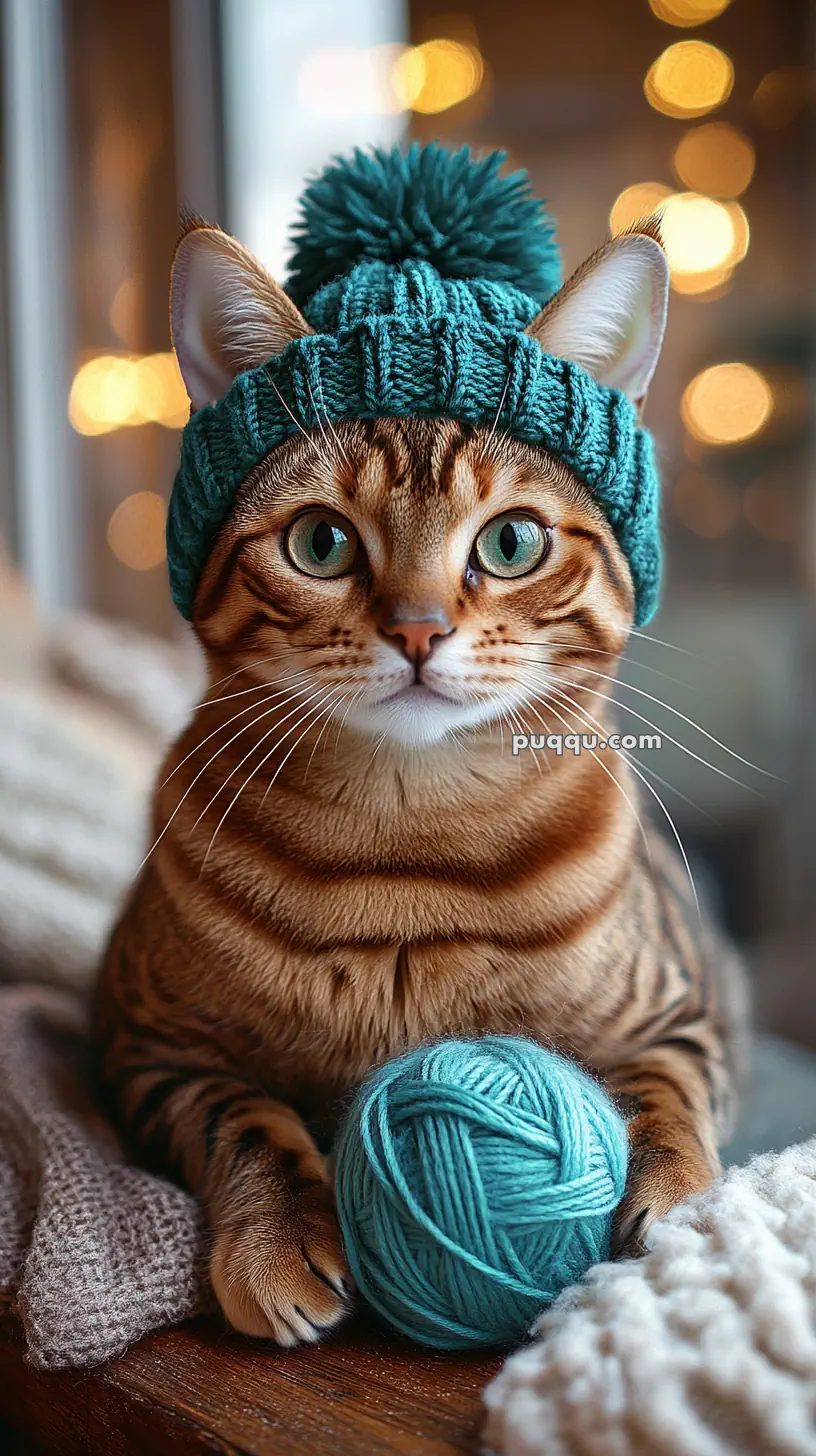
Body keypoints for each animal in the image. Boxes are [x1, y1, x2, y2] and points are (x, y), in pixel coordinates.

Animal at [93, 221, 746, 1345]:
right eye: (320, 541)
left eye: (512, 540)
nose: (418, 629)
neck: (408, 854)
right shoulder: (142, 1042)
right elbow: (239, 1118)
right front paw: (277, 1240)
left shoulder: (687, 1014)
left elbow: (669, 1093)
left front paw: (676, 1205)